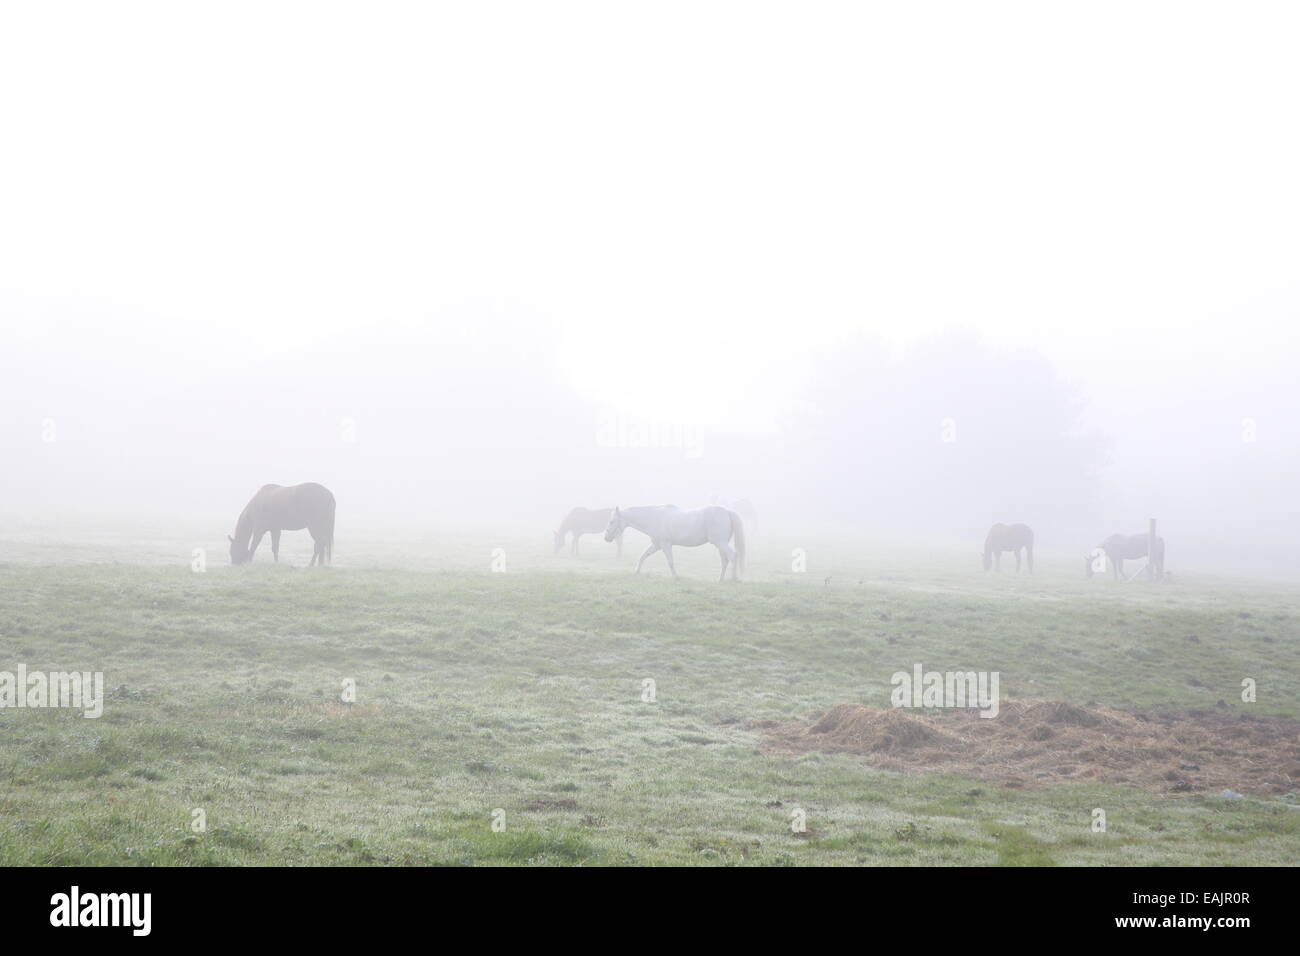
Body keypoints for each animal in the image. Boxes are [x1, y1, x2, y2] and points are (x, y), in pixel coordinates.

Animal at [605, 504, 745, 582]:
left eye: (612, 521)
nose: (606, 538)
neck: (654, 518)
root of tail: (727, 511)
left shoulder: (665, 544)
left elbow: (670, 562)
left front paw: (676, 577)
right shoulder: (656, 545)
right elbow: (643, 556)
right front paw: (636, 572)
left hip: (721, 543)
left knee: (733, 556)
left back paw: (733, 578)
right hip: (720, 544)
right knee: (725, 560)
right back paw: (720, 580)